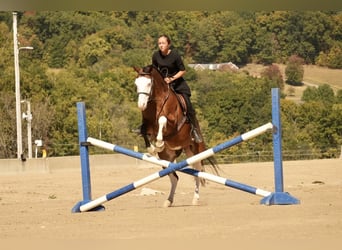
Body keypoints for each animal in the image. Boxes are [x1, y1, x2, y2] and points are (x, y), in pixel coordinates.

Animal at [134, 64, 219, 207]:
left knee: (197, 172)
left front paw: (159, 143)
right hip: (167, 158)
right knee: (174, 177)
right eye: (136, 84)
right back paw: (168, 201)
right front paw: (152, 148)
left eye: (149, 83)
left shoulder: (173, 123)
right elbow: (145, 131)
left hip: (196, 151)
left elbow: (162, 119)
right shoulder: (148, 125)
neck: (156, 102)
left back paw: (195, 199)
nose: (141, 105)